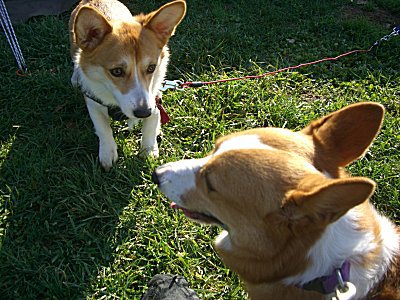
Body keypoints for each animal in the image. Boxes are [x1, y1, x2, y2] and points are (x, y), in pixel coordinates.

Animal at [70, 0, 186, 170]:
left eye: (151, 67)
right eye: (117, 71)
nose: (143, 112)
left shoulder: (154, 98)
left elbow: (151, 125)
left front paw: (149, 150)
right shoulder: (93, 101)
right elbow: (103, 128)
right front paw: (108, 153)